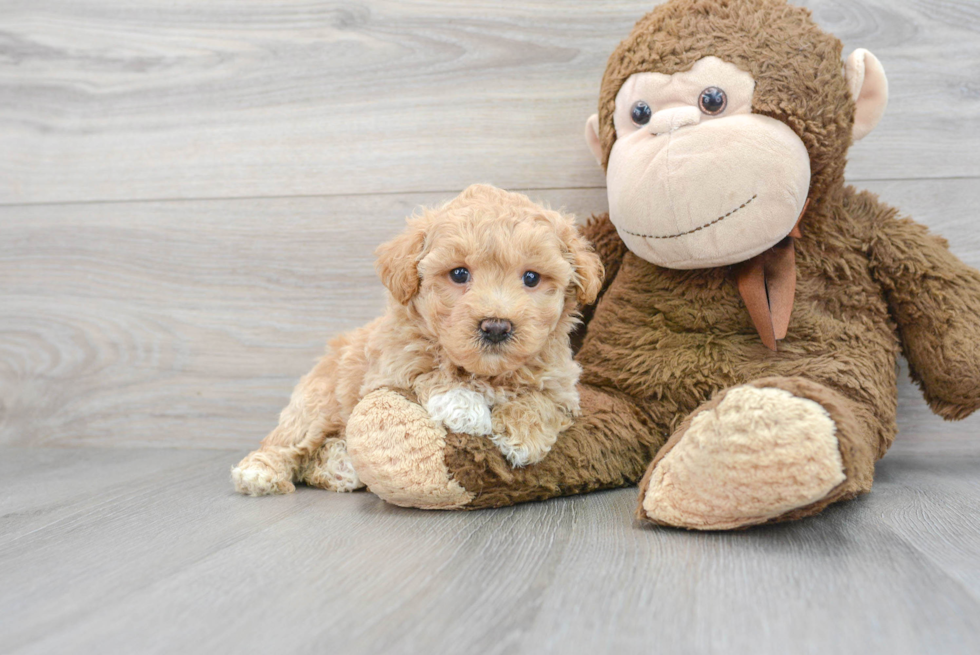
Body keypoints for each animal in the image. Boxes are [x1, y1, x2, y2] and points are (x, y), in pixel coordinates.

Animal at [235, 182, 604, 494]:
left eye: (531, 278)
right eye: (459, 274)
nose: (496, 326)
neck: (487, 373)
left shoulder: (562, 386)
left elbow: (543, 401)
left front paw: (521, 435)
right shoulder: (390, 366)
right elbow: (427, 371)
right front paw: (463, 405)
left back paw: (340, 465)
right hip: (319, 405)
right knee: (287, 442)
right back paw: (260, 471)